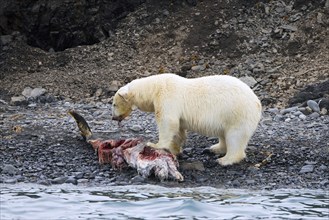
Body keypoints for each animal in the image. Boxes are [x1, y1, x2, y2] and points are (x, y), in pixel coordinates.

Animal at [111, 73, 260, 165]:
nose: (113, 117)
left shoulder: (167, 96)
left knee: (235, 137)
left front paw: (154, 144)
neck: (154, 88)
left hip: (237, 113)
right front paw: (174, 149)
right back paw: (214, 148)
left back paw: (225, 160)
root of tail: (257, 102)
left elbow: (167, 121)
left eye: (114, 104)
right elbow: (178, 129)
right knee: (223, 134)